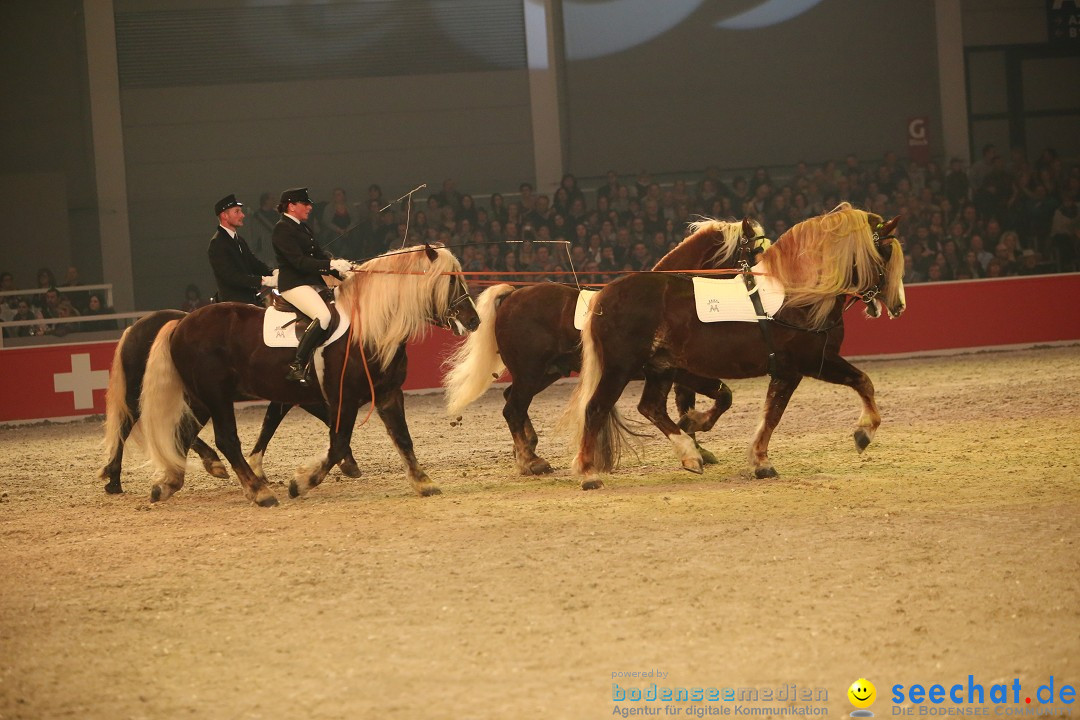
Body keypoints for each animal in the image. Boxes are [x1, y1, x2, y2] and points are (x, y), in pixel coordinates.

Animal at [138, 245, 477, 509]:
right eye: (449, 281)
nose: (474, 320)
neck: (369, 330)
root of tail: (182, 323)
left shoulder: (388, 393)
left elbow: (403, 438)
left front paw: (423, 482)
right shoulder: (343, 397)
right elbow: (338, 443)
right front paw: (301, 482)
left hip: (201, 398)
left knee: (183, 433)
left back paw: (169, 484)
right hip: (216, 396)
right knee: (226, 440)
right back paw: (260, 492)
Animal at [440, 220, 768, 479]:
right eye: (755, 251)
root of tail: (512, 295)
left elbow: (694, 402)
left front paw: (695, 440)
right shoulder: (683, 372)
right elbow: (721, 396)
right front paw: (695, 439)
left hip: (545, 373)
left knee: (513, 402)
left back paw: (528, 449)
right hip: (531, 373)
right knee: (513, 408)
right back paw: (531, 461)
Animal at [565, 205, 902, 492]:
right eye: (885, 252)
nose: (898, 305)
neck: (798, 297)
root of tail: (604, 295)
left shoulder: (786, 371)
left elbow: (770, 414)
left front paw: (758, 460)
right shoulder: (809, 364)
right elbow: (858, 383)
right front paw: (864, 433)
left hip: (660, 368)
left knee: (651, 407)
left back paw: (689, 454)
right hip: (619, 370)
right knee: (595, 409)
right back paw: (589, 474)